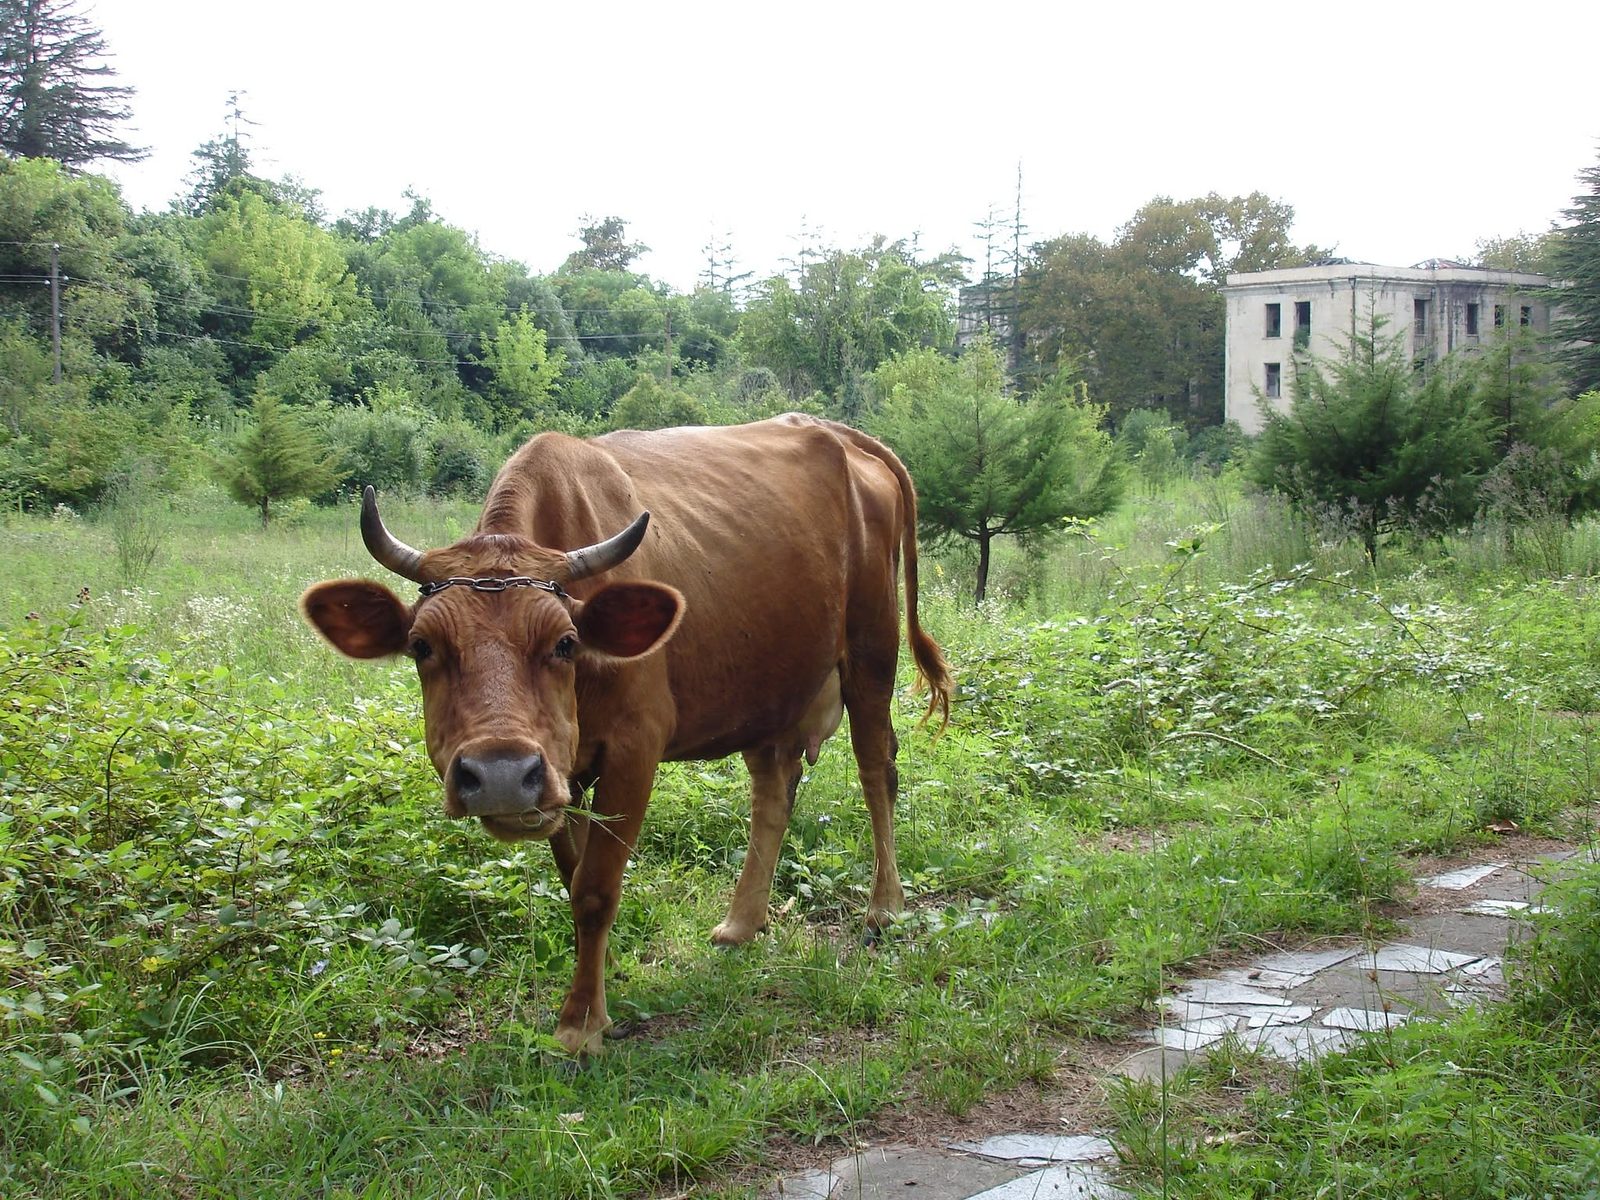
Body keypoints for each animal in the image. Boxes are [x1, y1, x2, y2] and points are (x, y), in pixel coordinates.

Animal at [300, 413, 952, 1055]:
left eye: (566, 642)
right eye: (421, 646)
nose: (501, 775)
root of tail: (838, 432)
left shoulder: (635, 748)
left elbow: (596, 887)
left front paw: (581, 1023)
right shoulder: (560, 775)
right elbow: (574, 876)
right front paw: (603, 979)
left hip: (872, 648)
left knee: (877, 768)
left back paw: (885, 907)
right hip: (767, 686)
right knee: (775, 789)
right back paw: (743, 922)